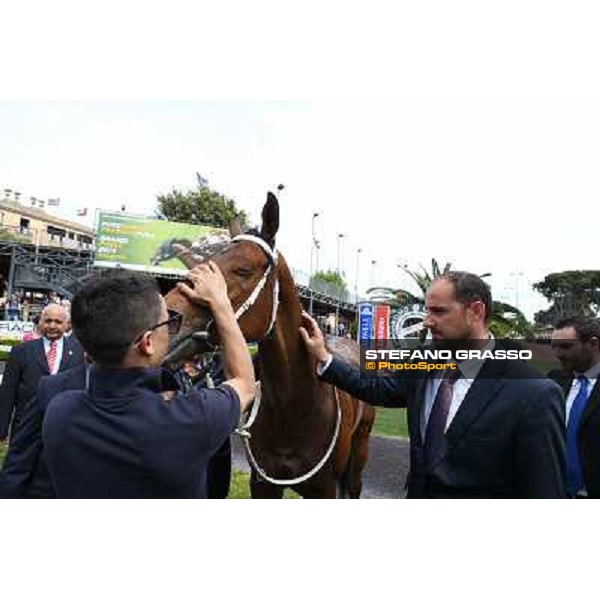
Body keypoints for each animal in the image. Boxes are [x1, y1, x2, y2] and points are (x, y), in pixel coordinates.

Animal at [162, 192, 372, 496]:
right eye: (207, 260)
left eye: (242, 269)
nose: (167, 315)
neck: (295, 409)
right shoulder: (262, 484)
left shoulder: (324, 489)